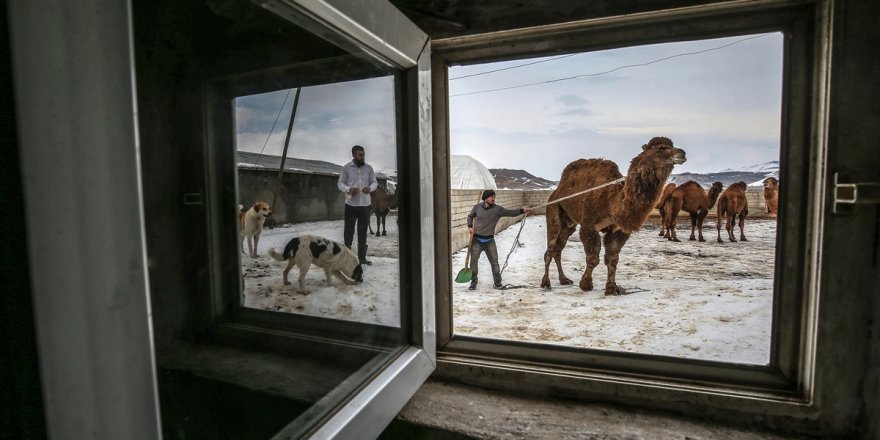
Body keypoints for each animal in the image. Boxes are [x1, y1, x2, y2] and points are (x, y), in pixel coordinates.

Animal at [544, 137, 688, 296]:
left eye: (672, 145)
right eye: (660, 148)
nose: (682, 153)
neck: (613, 202)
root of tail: (556, 192)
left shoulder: (618, 230)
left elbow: (613, 259)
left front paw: (612, 288)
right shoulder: (589, 225)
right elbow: (593, 258)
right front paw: (586, 284)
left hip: (569, 224)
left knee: (559, 248)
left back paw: (564, 279)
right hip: (554, 211)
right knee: (551, 248)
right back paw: (546, 283)